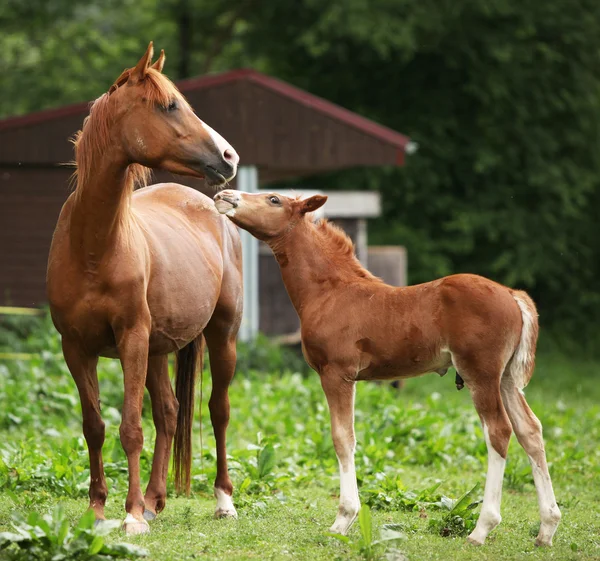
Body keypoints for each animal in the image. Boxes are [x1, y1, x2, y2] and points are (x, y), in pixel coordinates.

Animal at [47, 44, 243, 532]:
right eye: (169, 106)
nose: (229, 157)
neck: (94, 246)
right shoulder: (75, 347)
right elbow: (95, 426)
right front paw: (98, 509)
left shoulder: (131, 339)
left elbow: (131, 428)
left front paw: (131, 514)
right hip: (157, 349)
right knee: (170, 413)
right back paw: (156, 498)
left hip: (221, 337)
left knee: (218, 410)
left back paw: (221, 500)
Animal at [216, 187, 564, 544]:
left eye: (274, 199)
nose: (225, 195)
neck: (329, 292)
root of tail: (513, 294)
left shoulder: (337, 374)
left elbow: (343, 438)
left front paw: (344, 519)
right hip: (506, 378)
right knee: (530, 430)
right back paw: (547, 527)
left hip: (480, 373)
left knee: (498, 431)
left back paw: (482, 528)